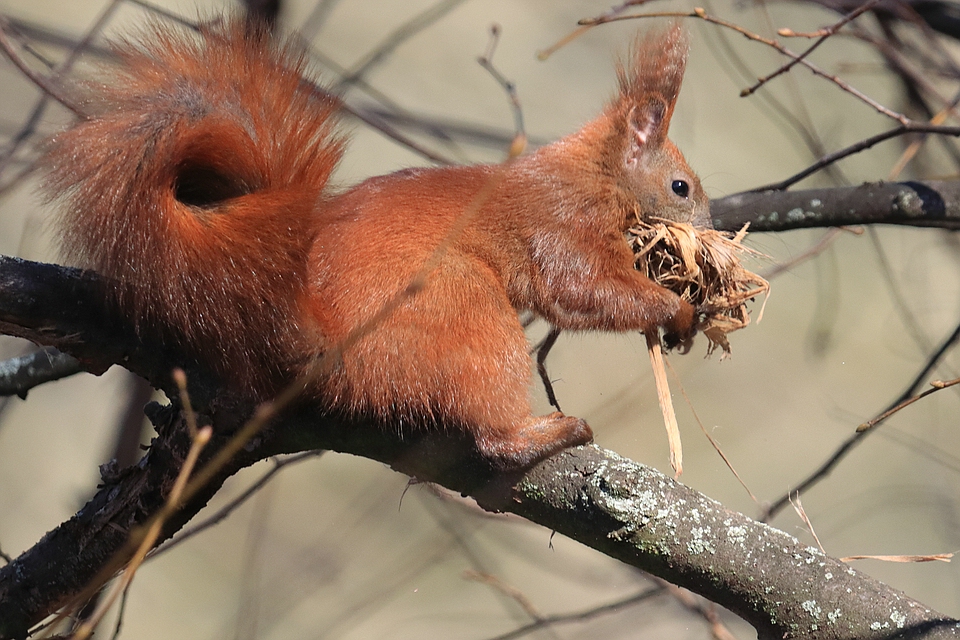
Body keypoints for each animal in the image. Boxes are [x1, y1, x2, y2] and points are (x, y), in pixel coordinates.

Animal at [43, 18, 704, 470]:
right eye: (681, 186)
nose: (708, 226)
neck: (596, 172)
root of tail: (325, 344)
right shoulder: (562, 221)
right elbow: (581, 289)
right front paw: (677, 309)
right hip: (466, 304)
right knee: (495, 438)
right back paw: (547, 433)